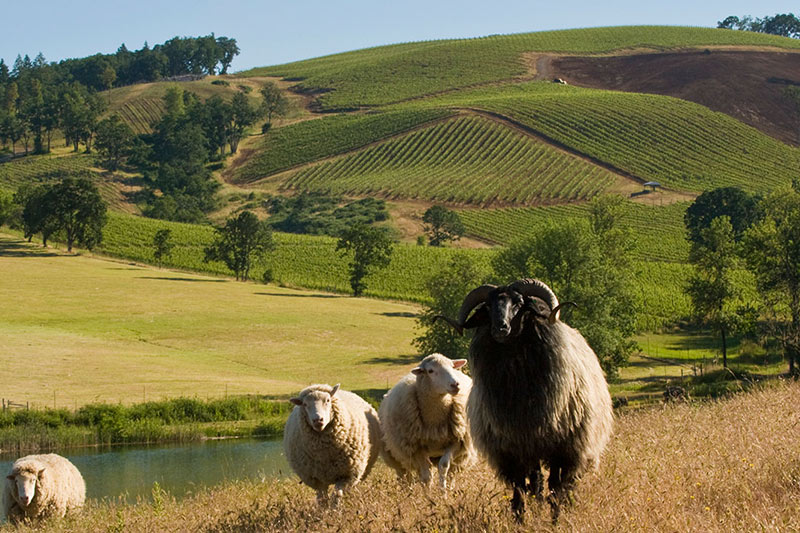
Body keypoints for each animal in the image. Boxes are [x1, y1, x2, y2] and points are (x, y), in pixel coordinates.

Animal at [379, 353, 475, 490]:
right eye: (430, 371)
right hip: (396, 455)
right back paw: (407, 491)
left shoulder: (455, 442)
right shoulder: (416, 449)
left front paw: (443, 492)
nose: (455, 384)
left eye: (452, 366)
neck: (434, 419)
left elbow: (443, 467)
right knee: (405, 475)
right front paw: (428, 494)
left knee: (451, 473)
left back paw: (451, 488)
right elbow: (426, 476)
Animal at [437, 278, 613, 522]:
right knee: (537, 482)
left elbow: (555, 486)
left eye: (519, 303)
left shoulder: (561, 447)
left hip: (578, 447)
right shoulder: (513, 451)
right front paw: (520, 518)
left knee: (565, 483)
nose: (500, 328)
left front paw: (555, 519)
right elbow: (521, 488)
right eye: (488, 306)